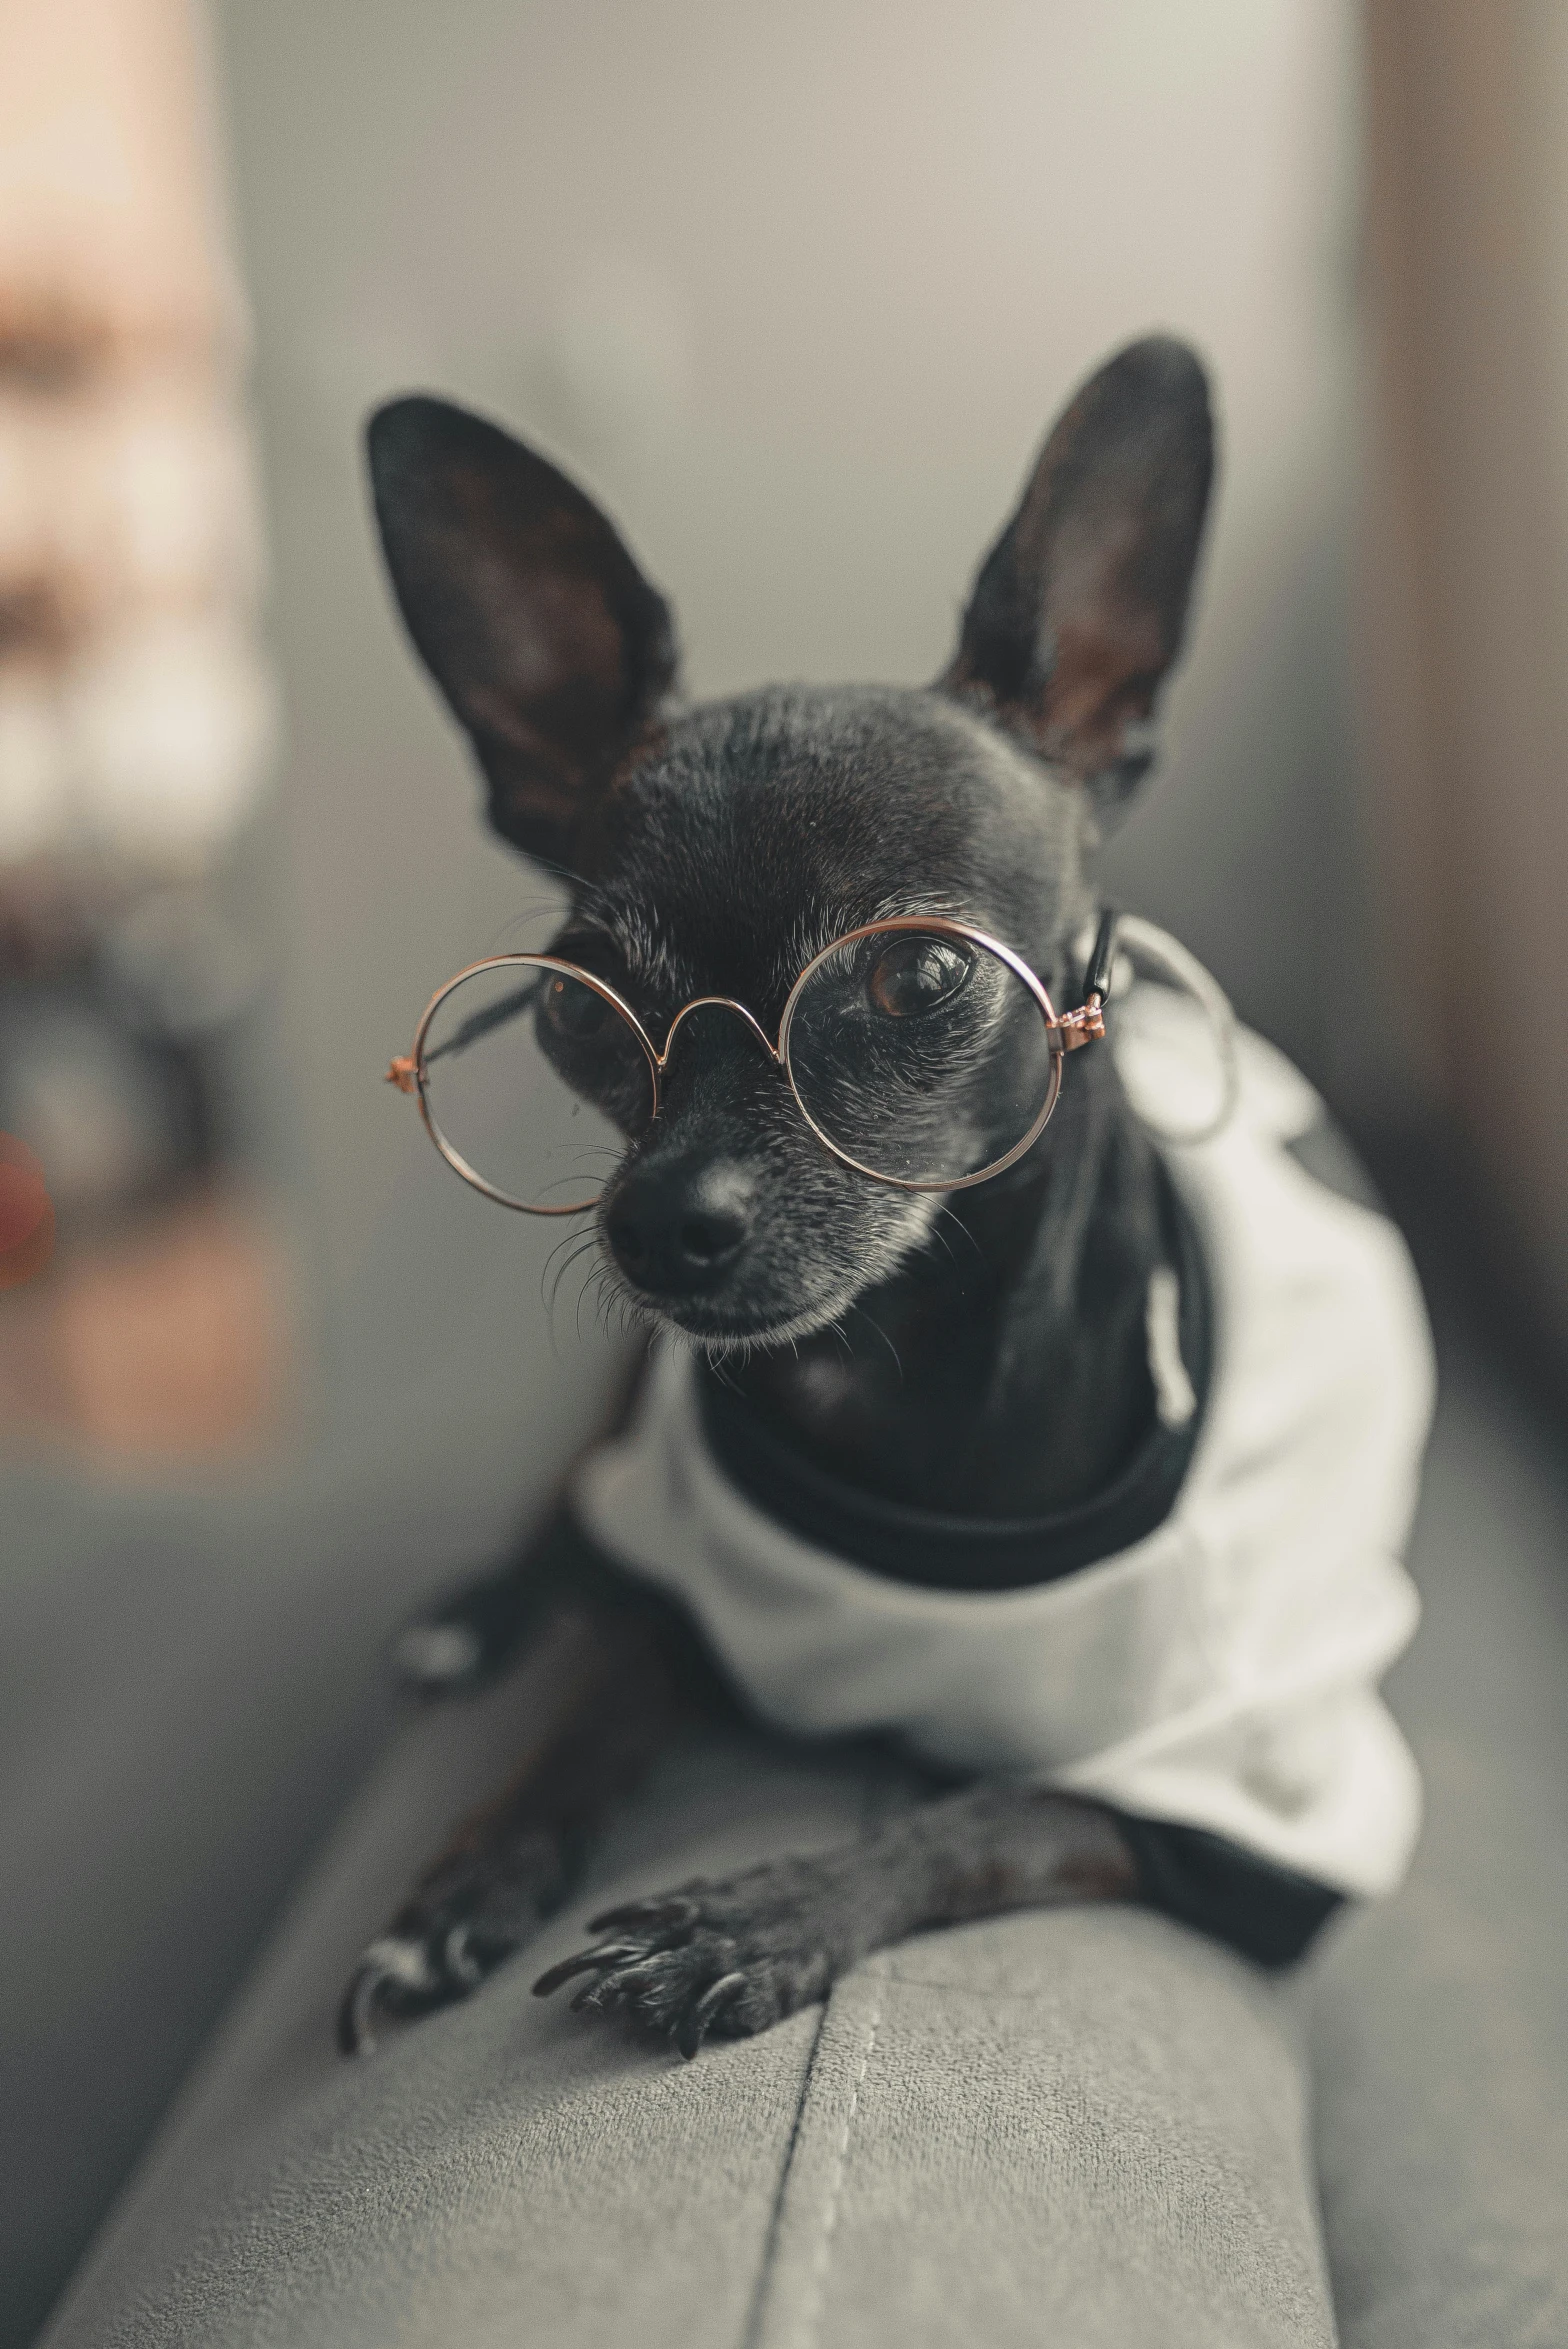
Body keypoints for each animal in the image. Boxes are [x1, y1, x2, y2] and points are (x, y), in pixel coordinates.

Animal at [342, 340, 1436, 2067]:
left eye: (918, 976)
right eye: (577, 1007)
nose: (662, 1222)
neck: (897, 1375)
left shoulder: (1255, 1825)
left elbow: (987, 1812)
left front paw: (758, 1913)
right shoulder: (681, 1572)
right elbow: (598, 1709)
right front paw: (462, 1881)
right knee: (579, 1504)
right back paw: (487, 1607)